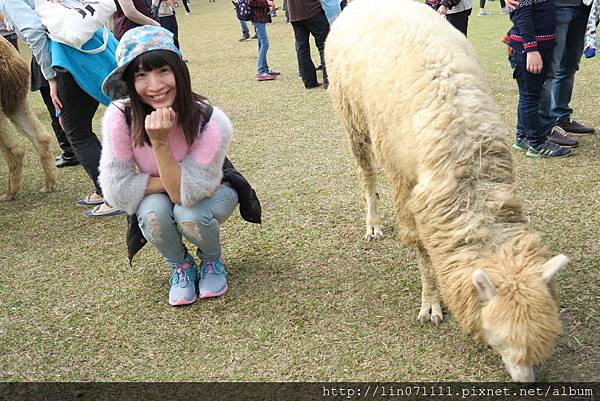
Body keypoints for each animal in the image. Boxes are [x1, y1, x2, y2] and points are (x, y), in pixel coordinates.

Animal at [326, 0, 568, 382]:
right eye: (499, 341)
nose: (526, 383)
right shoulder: (407, 185)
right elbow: (422, 250)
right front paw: (430, 305)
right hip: (354, 120)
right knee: (367, 176)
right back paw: (373, 224)